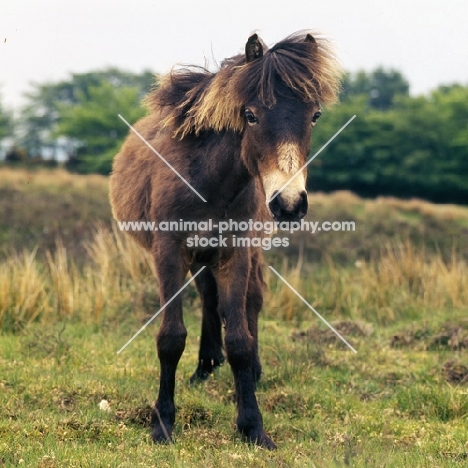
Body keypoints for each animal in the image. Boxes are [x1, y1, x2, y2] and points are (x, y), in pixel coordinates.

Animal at [111, 30, 342, 450]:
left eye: (314, 115)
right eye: (250, 115)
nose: (288, 203)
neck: (208, 182)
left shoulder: (235, 253)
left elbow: (240, 339)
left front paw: (253, 426)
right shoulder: (169, 254)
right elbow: (171, 338)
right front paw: (162, 423)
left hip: (247, 252)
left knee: (250, 302)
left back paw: (248, 372)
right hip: (198, 257)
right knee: (208, 298)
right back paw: (205, 367)